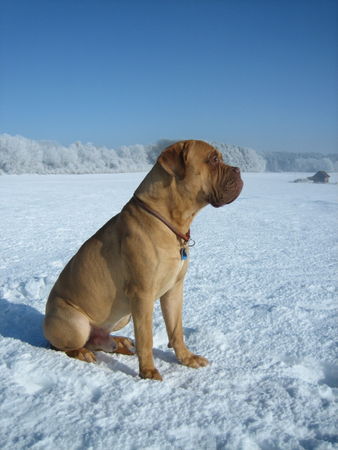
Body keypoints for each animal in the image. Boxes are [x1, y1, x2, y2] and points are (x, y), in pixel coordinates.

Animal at [44, 141, 243, 380]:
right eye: (213, 159)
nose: (239, 170)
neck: (171, 220)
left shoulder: (174, 289)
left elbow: (176, 329)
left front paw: (186, 359)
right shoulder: (142, 294)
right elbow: (146, 337)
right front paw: (148, 372)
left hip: (123, 317)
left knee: (101, 341)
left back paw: (119, 342)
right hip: (76, 322)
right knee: (63, 346)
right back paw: (82, 352)